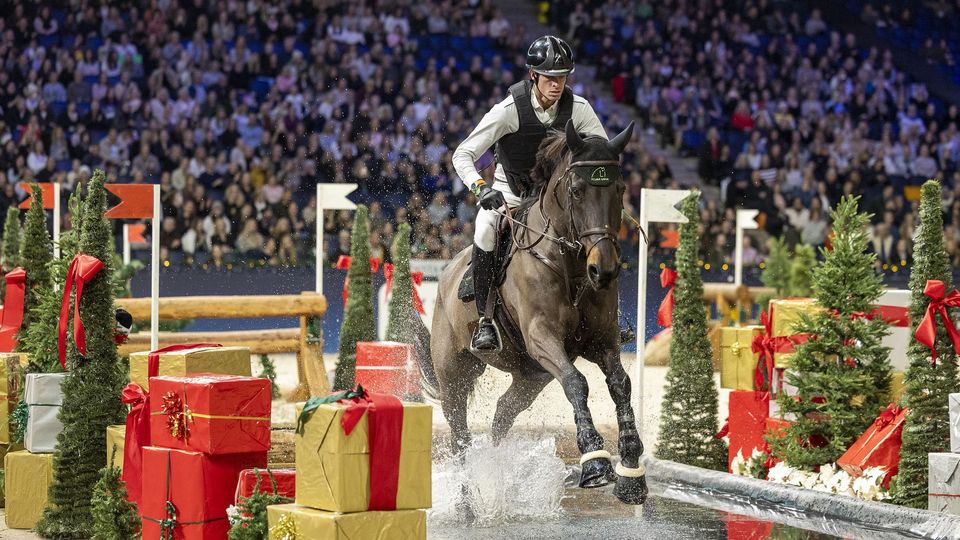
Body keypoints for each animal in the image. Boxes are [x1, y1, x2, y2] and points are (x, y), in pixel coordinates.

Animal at [413, 119, 647, 505]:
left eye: (619, 189)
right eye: (577, 190)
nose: (605, 271)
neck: (570, 266)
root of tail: (446, 272)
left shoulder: (603, 341)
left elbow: (620, 385)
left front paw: (631, 470)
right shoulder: (542, 337)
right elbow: (576, 382)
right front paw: (595, 462)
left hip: (530, 378)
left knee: (502, 416)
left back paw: (493, 475)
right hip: (455, 377)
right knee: (460, 435)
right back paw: (467, 499)